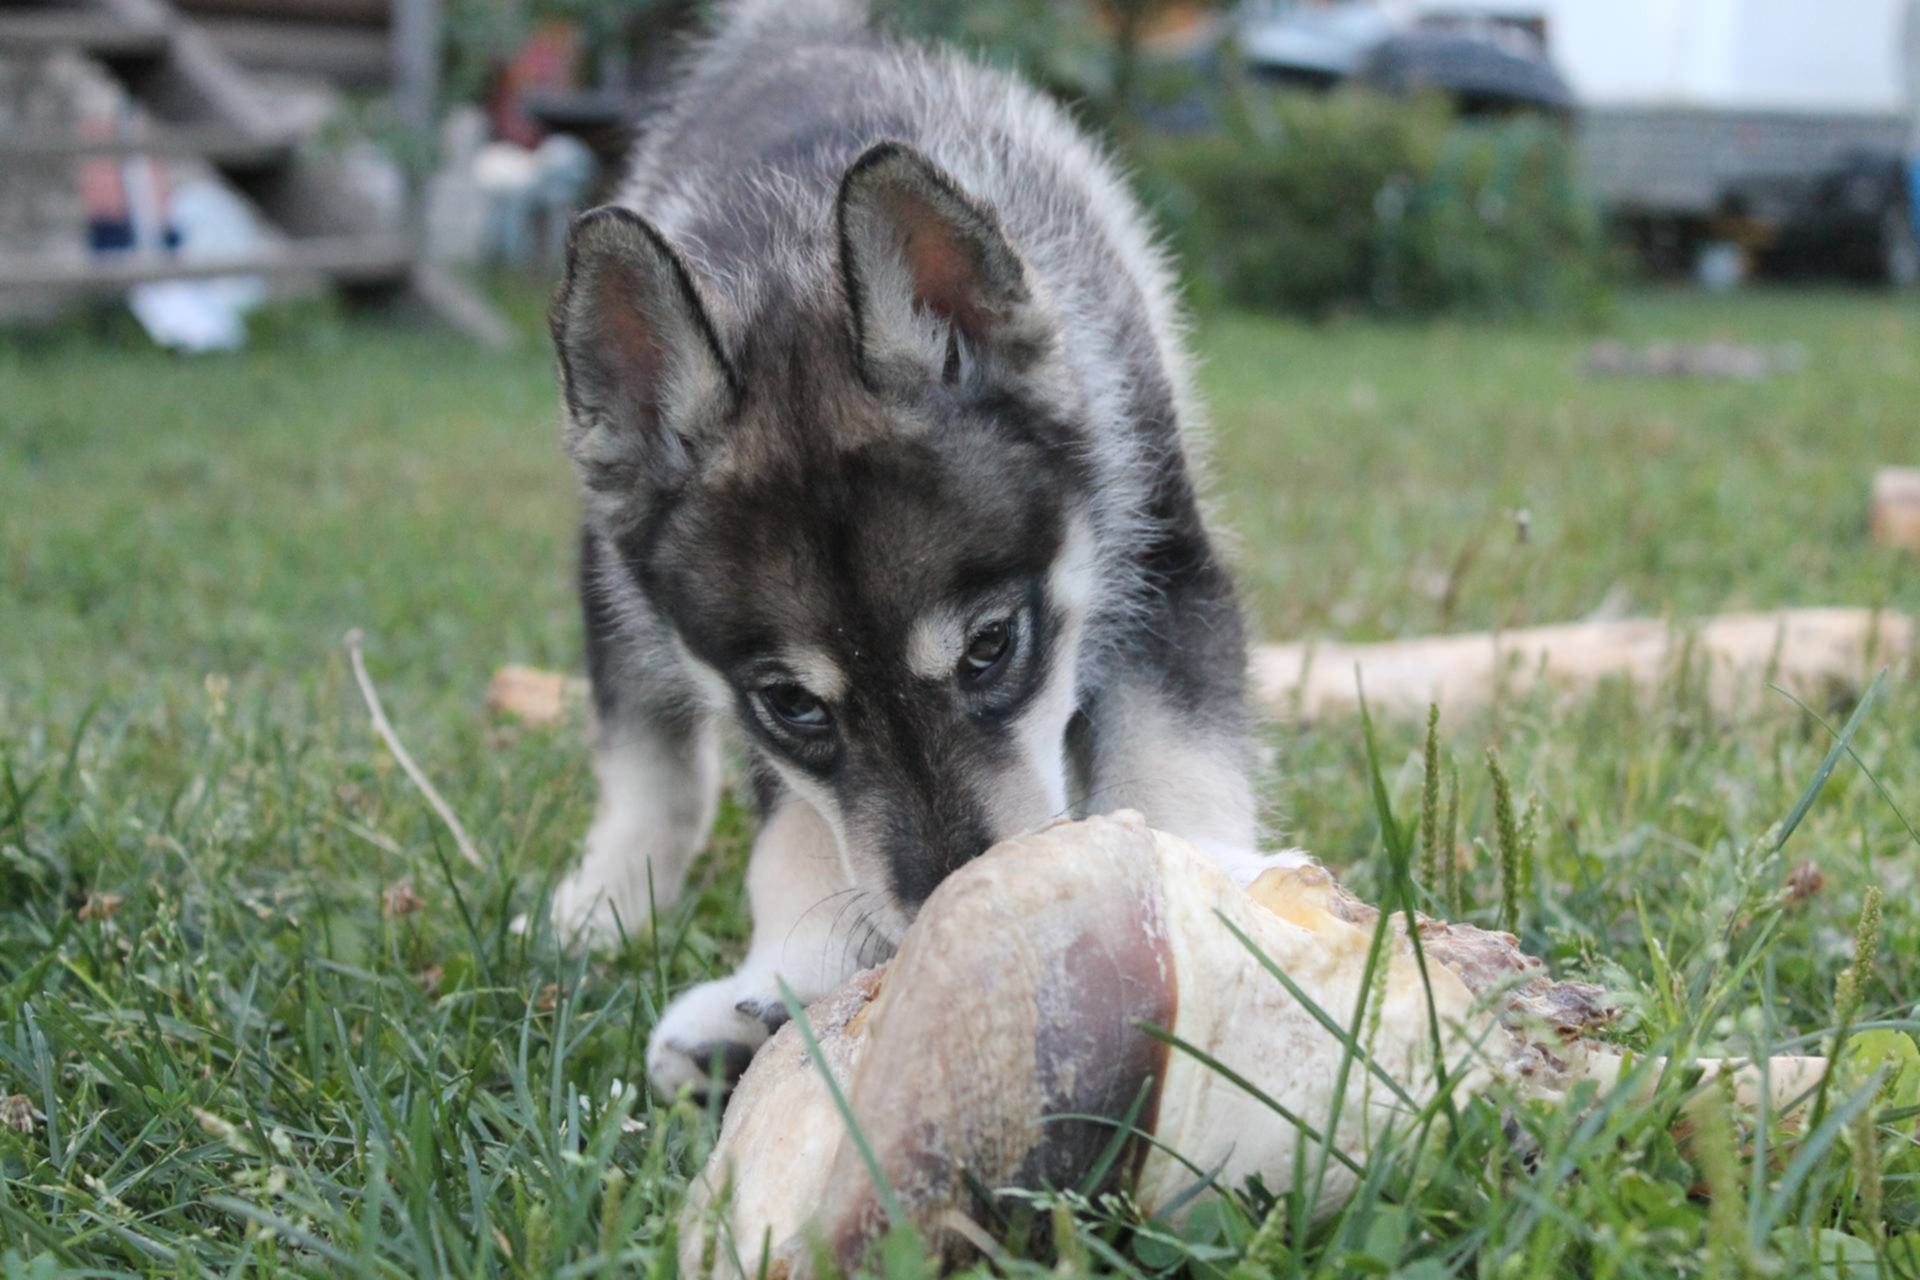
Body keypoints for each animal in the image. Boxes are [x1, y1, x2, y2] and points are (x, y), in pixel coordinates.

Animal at [549, 0, 1267, 1105]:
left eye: (990, 647)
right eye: (793, 703)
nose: (947, 909)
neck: (794, 242)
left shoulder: (1163, 566)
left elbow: (1175, 754)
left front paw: (1210, 903)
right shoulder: (760, 721)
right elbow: (796, 835)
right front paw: (777, 985)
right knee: (649, 766)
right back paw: (610, 895)